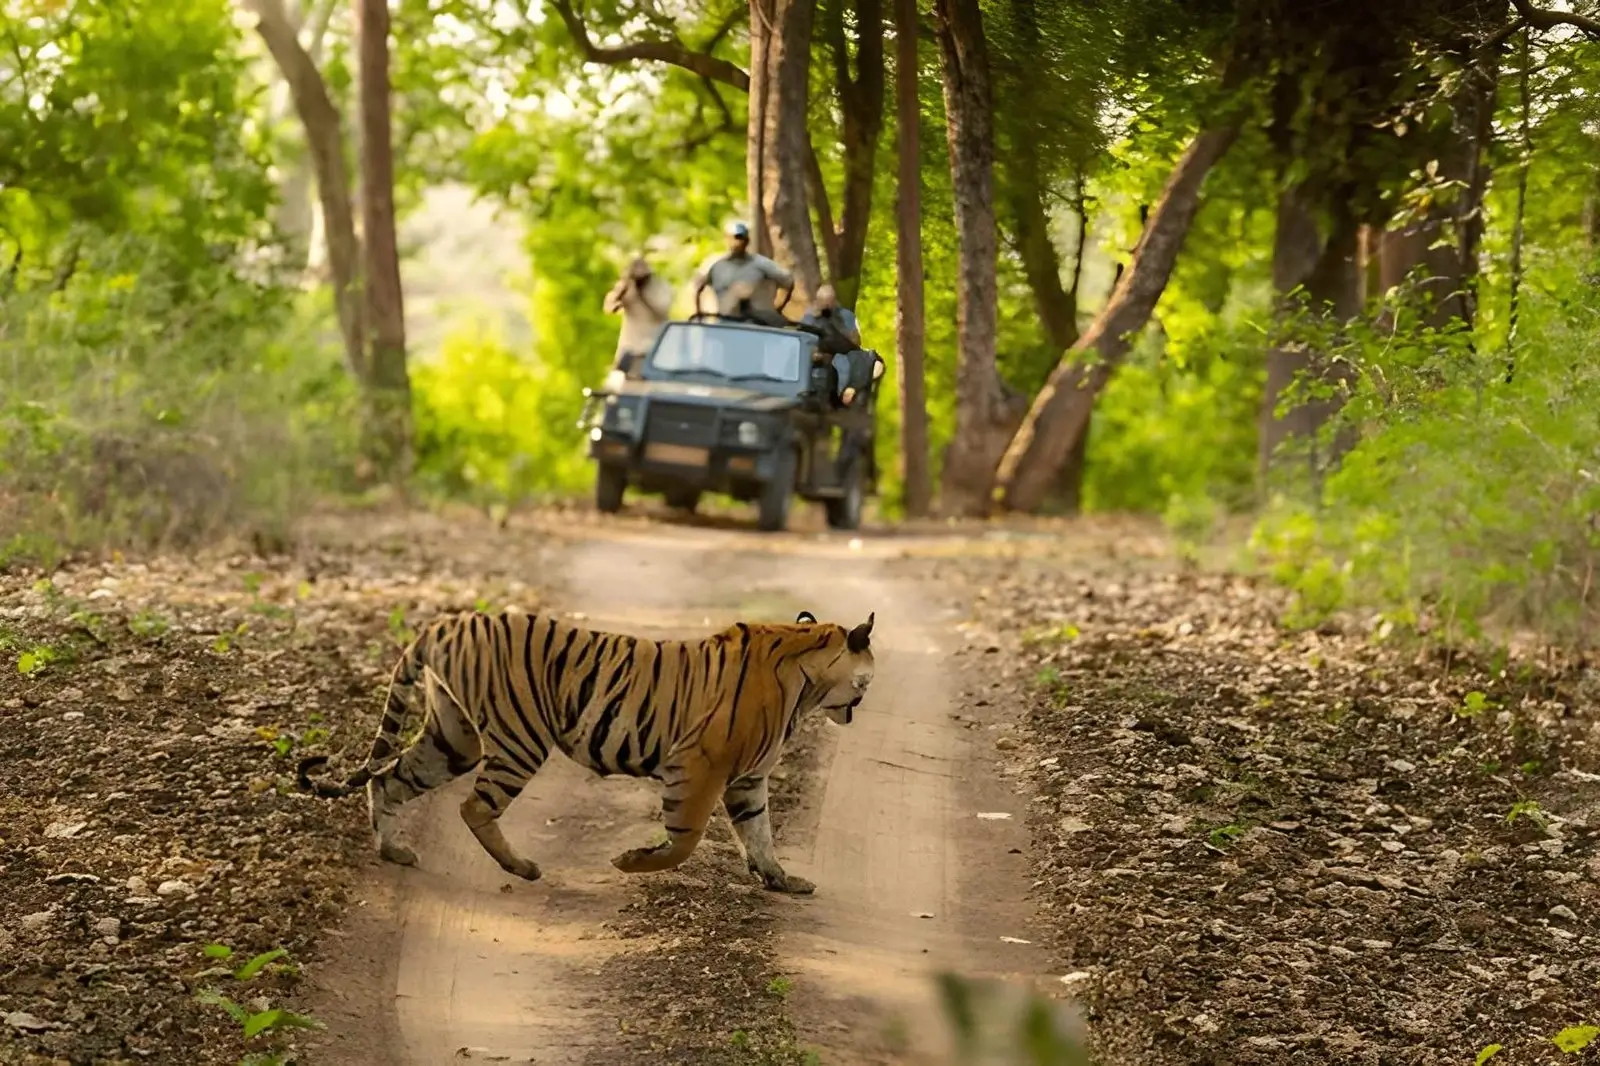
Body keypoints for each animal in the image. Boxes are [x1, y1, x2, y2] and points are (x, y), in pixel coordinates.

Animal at [296, 607, 875, 895]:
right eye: (867, 679)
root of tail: (441, 624)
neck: (807, 681)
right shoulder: (698, 765)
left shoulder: (749, 780)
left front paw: (782, 881)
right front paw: (630, 862)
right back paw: (522, 868)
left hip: (452, 737)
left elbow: (760, 834)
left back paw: (393, 850)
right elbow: (685, 841)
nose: (863, 703)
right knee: (474, 806)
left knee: (387, 778)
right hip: (521, 738)